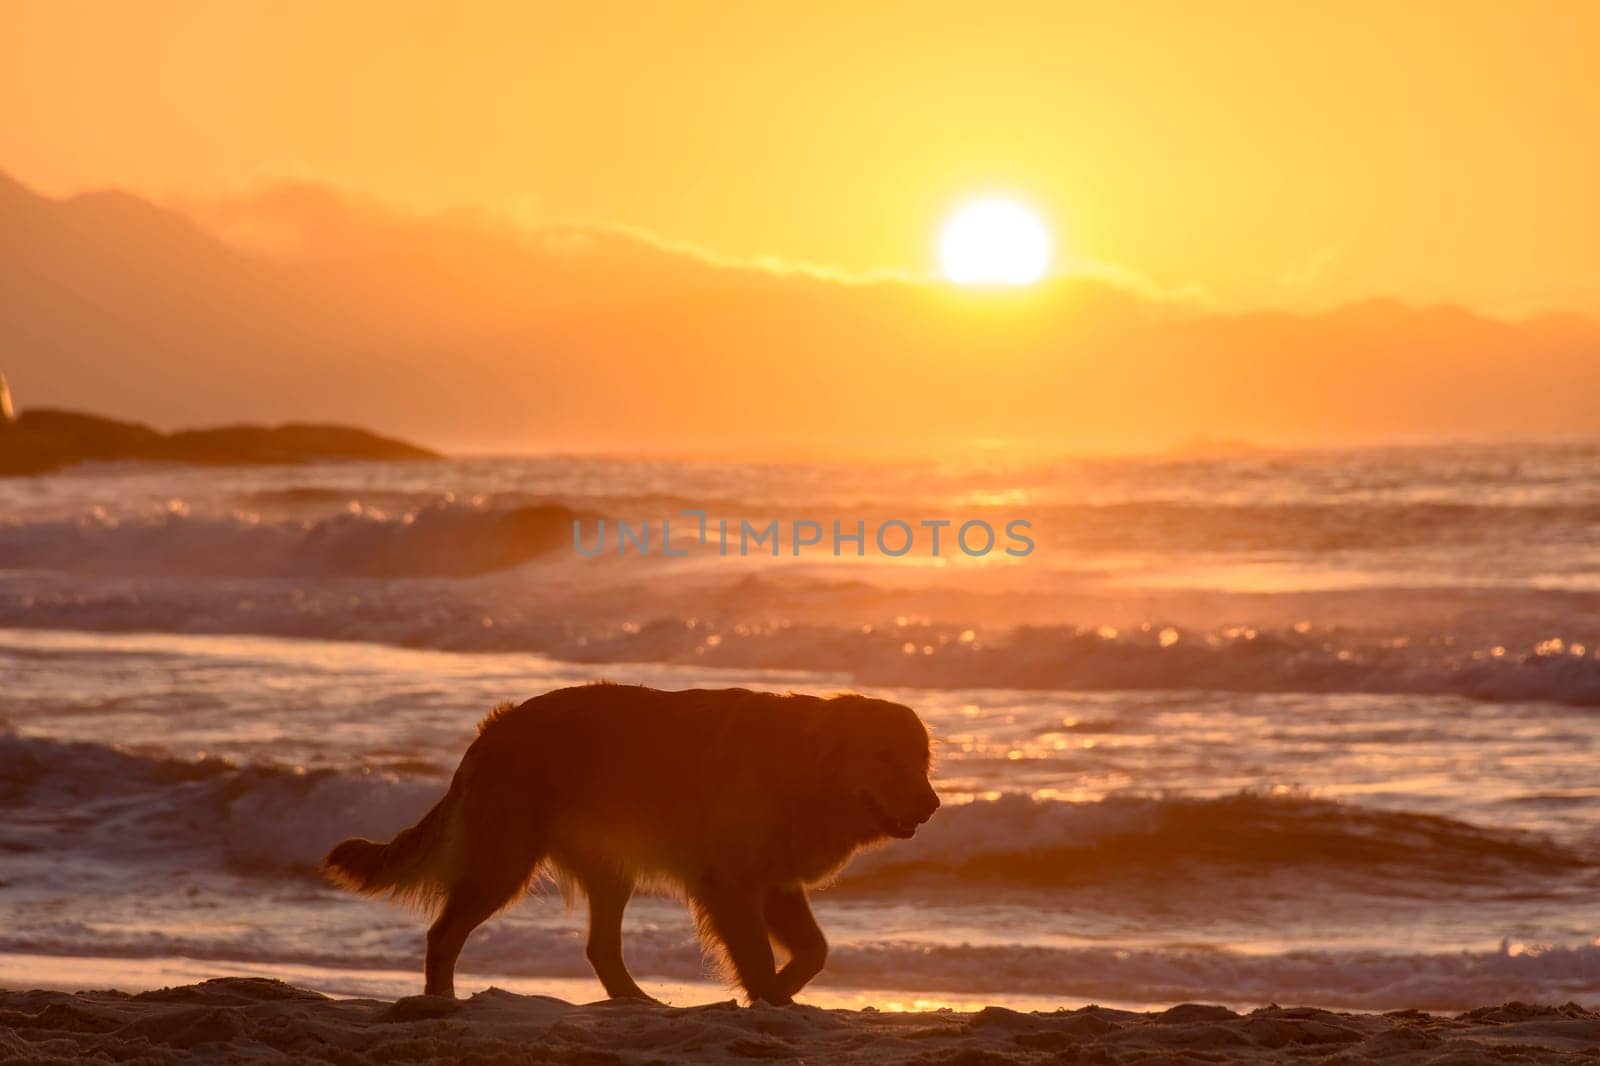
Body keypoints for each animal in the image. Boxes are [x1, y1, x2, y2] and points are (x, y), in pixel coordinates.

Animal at [323, 685, 934, 998]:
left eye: (922, 760)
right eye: (886, 758)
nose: (932, 806)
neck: (803, 768)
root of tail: (493, 730)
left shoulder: (775, 885)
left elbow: (815, 950)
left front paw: (775, 995)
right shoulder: (731, 885)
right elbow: (760, 958)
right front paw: (767, 998)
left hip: (608, 869)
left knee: (600, 949)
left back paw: (637, 1002)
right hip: (505, 863)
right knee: (442, 935)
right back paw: (441, 1002)